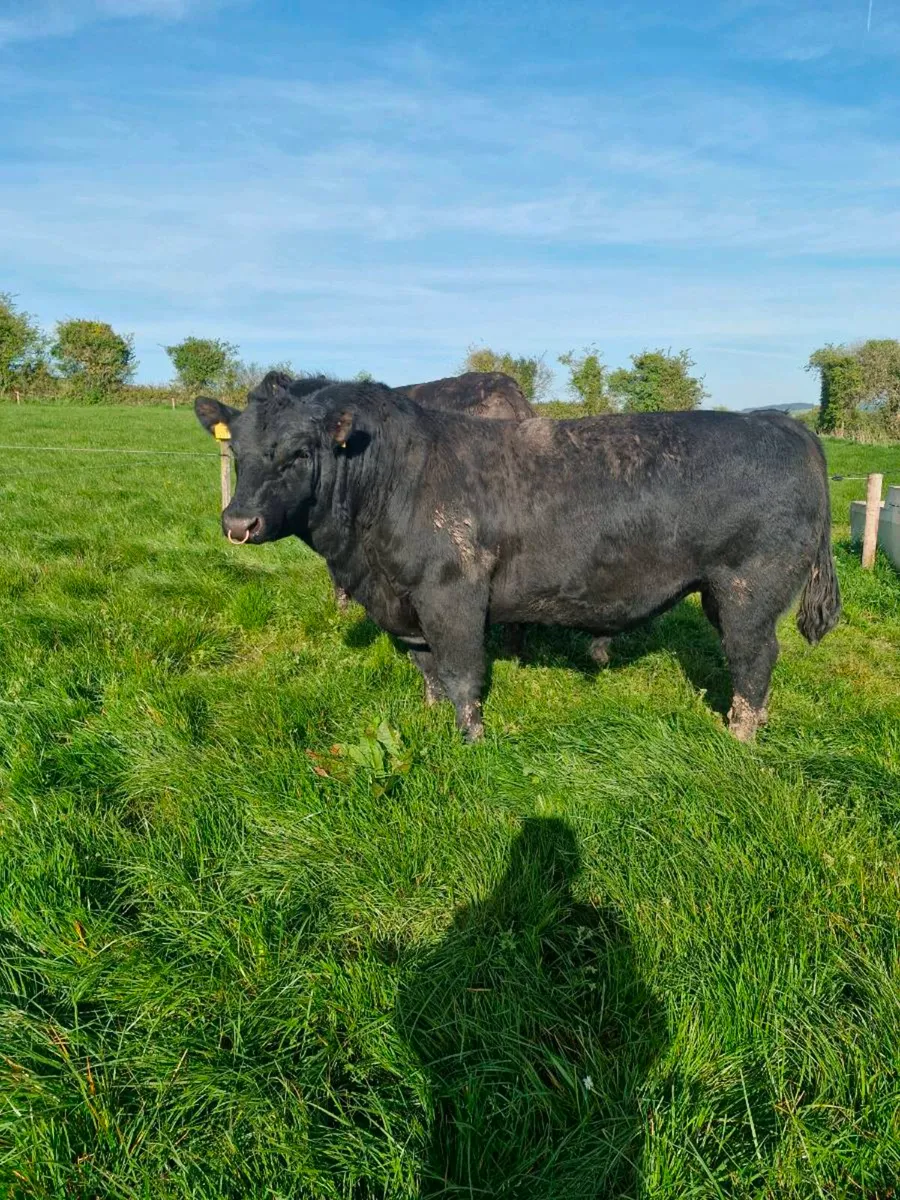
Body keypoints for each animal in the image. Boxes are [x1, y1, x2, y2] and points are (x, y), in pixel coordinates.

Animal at [195, 381, 841, 743]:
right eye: (237, 450)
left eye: (300, 453)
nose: (238, 524)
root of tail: (782, 422)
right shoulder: (405, 603)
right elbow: (428, 671)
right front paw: (433, 719)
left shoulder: (452, 592)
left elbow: (461, 672)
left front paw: (472, 739)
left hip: (746, 589)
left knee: (753, 660)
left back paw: (740, 736)